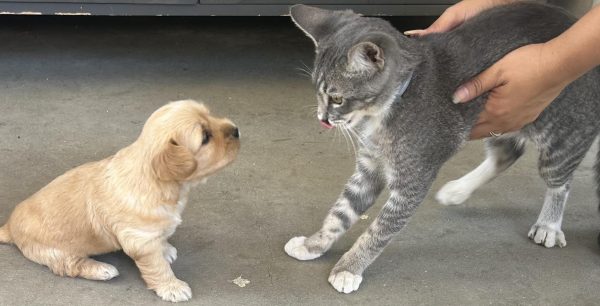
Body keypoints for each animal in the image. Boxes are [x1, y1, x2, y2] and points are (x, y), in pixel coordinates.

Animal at [0, 100, 239, 302]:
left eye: (210, 115)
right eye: (205, 137)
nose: (236, 130)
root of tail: (10, 226)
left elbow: (161, 240)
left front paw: (165, 248)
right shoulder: (140, 240)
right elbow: (157, 267)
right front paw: (172, 287)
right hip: (55, 251)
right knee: (70, 265)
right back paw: (102, 269)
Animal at [284, 2, 600, 294]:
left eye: (337, 98)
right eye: (317, 92)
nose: (322, 118)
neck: (390, 106)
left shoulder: (413, 179)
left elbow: (379, 230)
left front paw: (349, 267)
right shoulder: (369, 168)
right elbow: (341, 212)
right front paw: (314, 244)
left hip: (562, 133)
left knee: (559, 180)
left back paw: (549, 224)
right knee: (507, 153)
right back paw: (458, 190)